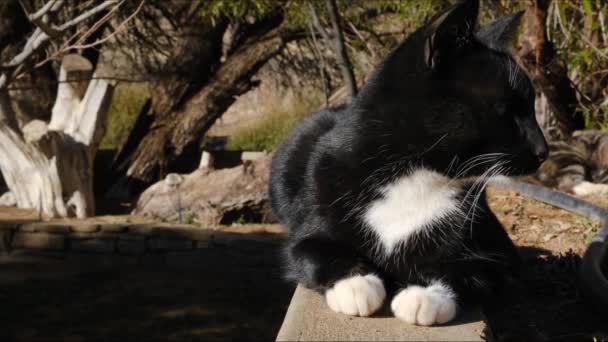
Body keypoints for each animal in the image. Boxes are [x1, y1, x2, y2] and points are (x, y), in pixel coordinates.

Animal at [268, 0, 548, 326]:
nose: (544, 150)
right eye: (507, 110)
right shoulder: (311, 218)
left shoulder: (500, 254)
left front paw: (424, 297)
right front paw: (356, 284)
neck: (412, 175)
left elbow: (471, 270)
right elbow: (310, 250)